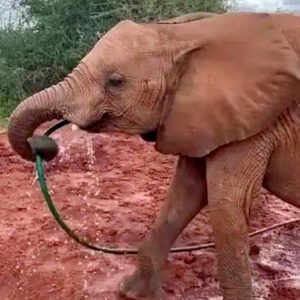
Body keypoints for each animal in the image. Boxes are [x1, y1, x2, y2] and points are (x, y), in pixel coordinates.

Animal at [7, 9, 300, 300]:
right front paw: (129, 293)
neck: (185, 33)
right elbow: (185, 194)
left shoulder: (257, 122)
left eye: (115, 82)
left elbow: (226, 206)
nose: (43, 145)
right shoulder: (198, 116)